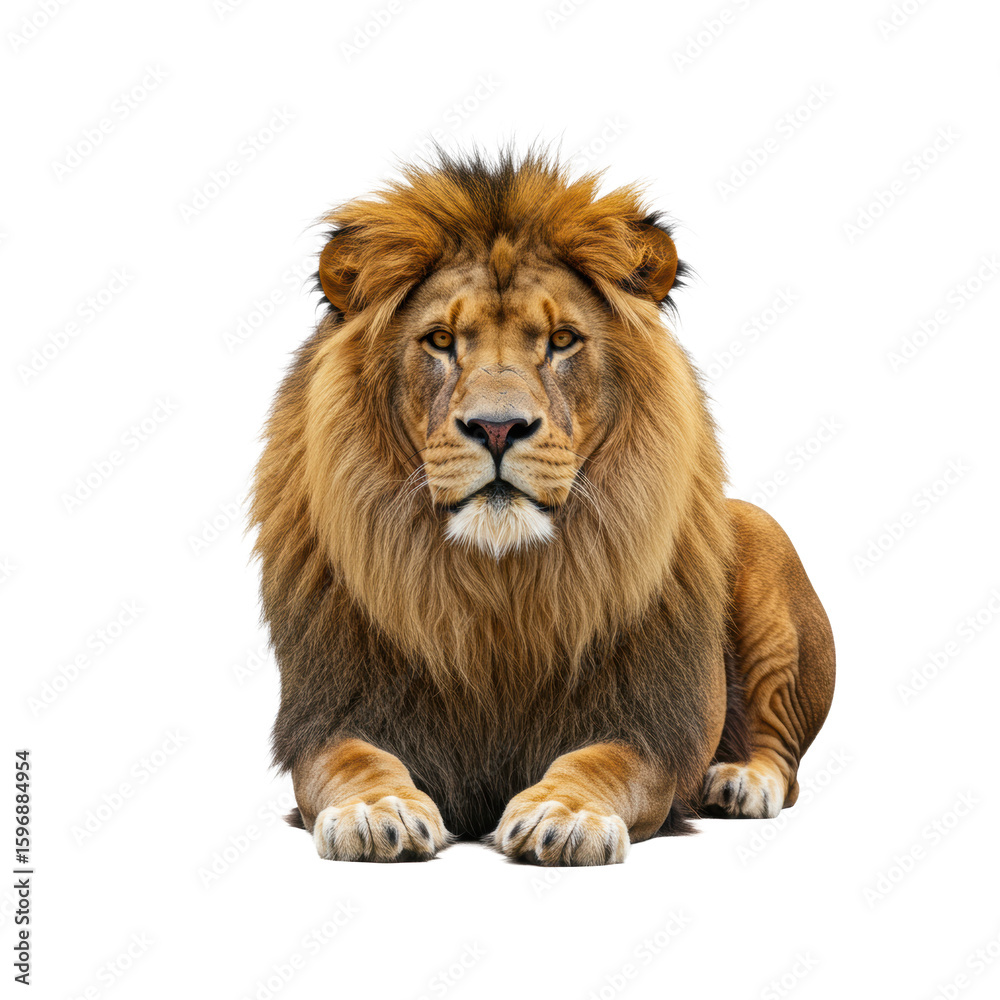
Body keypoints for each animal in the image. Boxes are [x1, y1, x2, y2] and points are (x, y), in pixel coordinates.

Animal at [250, 150, 835, 866]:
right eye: (440, 340)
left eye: (561, 340)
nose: (498, 428)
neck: (501, 584)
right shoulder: (329, 714)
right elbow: (354, 761)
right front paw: (375, 810)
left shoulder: (646, 728)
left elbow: (601, 763)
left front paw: (565, 815)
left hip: (765, 548)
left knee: (783, 753)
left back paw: (741, 782)